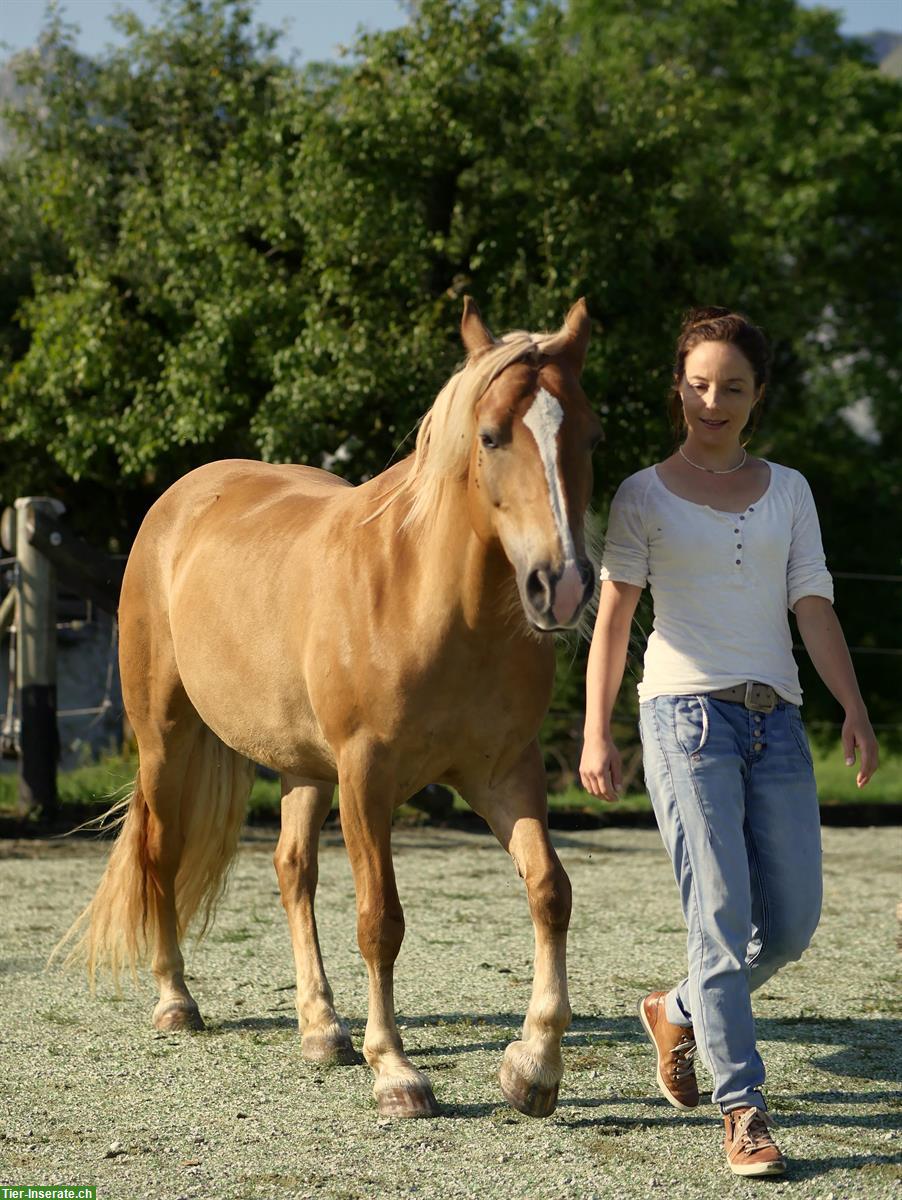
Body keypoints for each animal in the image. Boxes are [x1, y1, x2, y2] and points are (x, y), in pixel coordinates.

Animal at [58, 295, 599, 1118]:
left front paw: (533, 1066)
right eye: (490, 435)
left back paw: (321, 1027)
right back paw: (176, 1000)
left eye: (588, 432)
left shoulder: (505, 773)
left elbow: (550, 892)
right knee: (161, 853)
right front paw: (397, 1072)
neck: (434, 603)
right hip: (167, 739)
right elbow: (381, 921)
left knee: (292, 870)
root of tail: (179, 501)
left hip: (303, 767)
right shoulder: (366, 778)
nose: (560, 585)